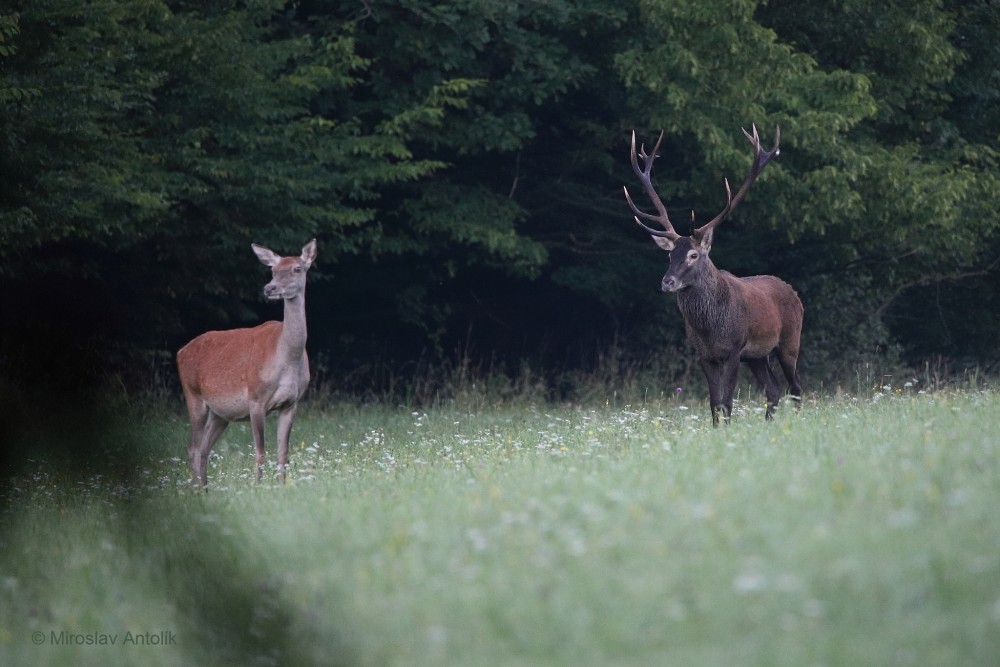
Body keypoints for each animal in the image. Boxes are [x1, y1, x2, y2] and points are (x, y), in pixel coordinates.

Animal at [177, 239, 316, 486]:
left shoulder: (292, 402)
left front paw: (282, 486)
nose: (269, 288)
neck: (288, 361)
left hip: (220, 413)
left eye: (297, 268)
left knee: (204, 448)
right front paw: (258, 486)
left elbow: (283, 452)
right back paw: (196, 488)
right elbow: (260, 451)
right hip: (193, 394)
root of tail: (180, 352)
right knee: (192, 447)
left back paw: (206, 487)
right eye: (272, 270)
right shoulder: (256, 398)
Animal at [624, 126, 804, 426]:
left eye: (693, 255)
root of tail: (794, 293)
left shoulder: (734, 349)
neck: (711, 329)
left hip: (790, 341)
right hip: (757, 356)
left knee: (796, 388)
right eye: (669, 255)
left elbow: (728, 402)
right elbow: (714, 403)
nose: (667, 282)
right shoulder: (705, 355)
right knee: (775, 389)